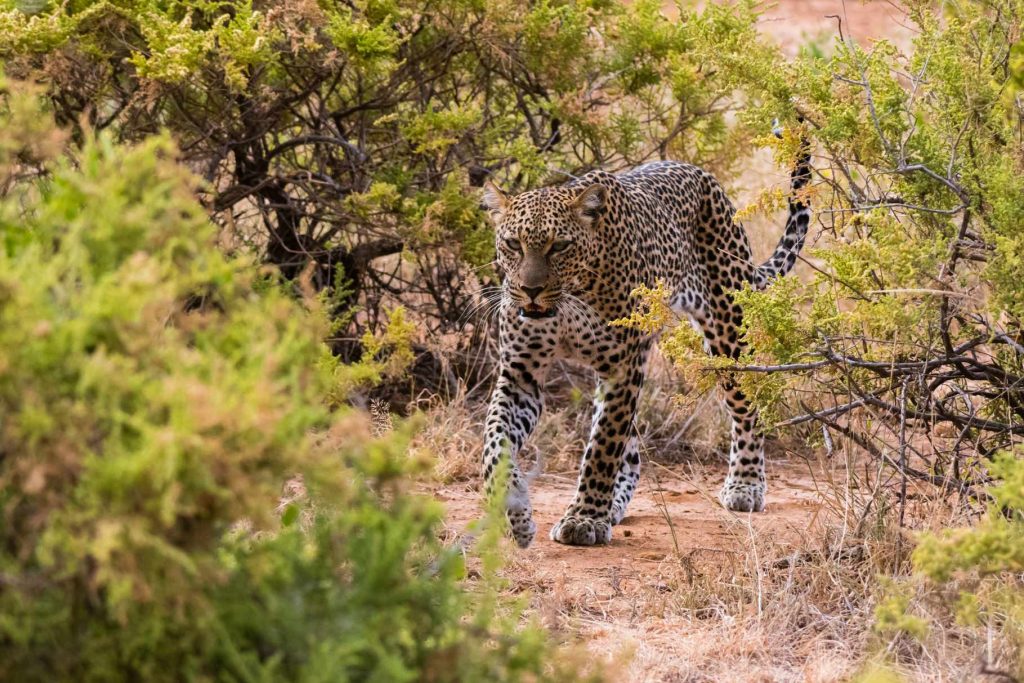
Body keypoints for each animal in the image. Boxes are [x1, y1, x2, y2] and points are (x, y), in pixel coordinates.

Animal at [479, 125, 812, 548]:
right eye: (513, 244)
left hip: (727, 333)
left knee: (746, 409)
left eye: (560, 246)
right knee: (632, 448)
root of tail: (706, 178)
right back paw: (615, 504)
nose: (530, 290)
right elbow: (495, 442)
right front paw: (515, 514)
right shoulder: (521, 374)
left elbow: (603, 447)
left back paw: (745, 484)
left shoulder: (621, 367)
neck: (570, 299)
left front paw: (584, 518)